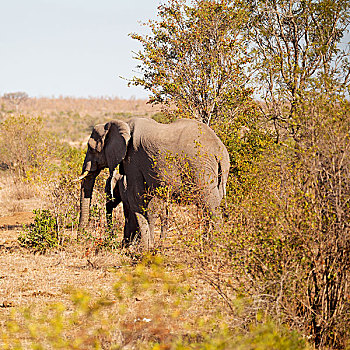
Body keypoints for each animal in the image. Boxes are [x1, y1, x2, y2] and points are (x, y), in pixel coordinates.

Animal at [80, 117, 230, 246]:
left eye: (91, 148)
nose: (80, 236)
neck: (122, 124)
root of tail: (219, 149)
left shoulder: (132, 159)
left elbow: (137, 197)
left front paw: (143, 248)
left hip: (200, 165)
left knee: (209, 202)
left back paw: (216, 244)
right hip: (217, 170)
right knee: (214, 200)